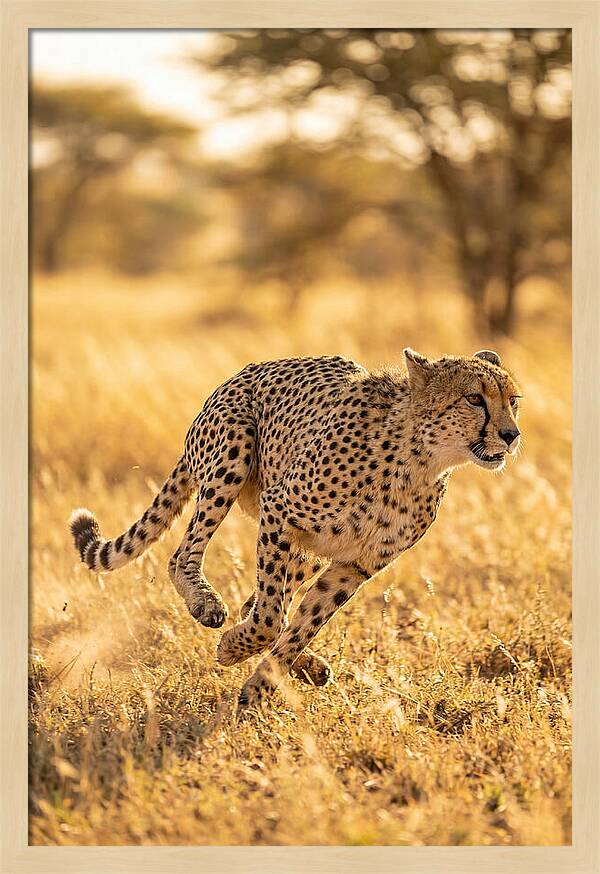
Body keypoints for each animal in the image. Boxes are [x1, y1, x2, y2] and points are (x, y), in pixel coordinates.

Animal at [70, 348, 521, 714]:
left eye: (512, 401)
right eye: (474, 398)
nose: (511, 434)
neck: (419, 460)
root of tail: (242, 372)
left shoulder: (354, 565)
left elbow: (301, 624)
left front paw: (259, 687)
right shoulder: (279, 511)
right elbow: (270, 618)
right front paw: (234, 650)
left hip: (309, 551)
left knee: (259, 601)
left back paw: (308, 667)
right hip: (233, 454)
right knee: (185, 556)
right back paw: (205, 603)